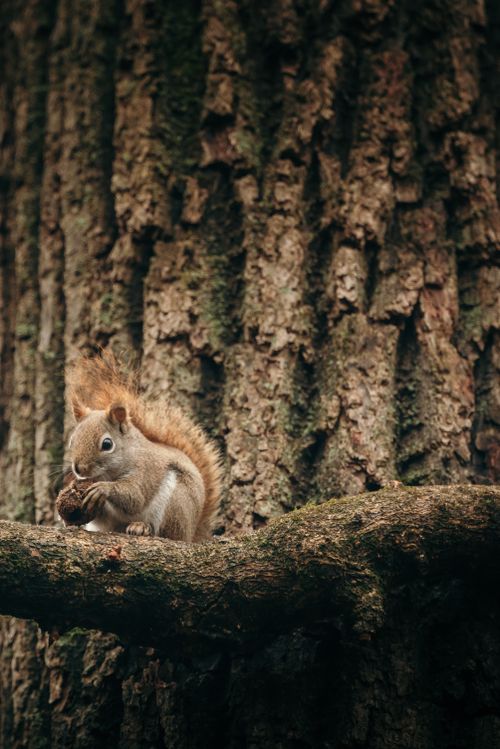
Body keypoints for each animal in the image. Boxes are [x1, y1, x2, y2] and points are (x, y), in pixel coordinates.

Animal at [64, 352, 222, 542]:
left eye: (107, 444)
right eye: (72, 440)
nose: (79, 469)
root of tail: (192, 533)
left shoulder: (146, 471)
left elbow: (135, 496)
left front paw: (103, 489)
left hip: (176, 502)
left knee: (168, 534)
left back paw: (142, 527)